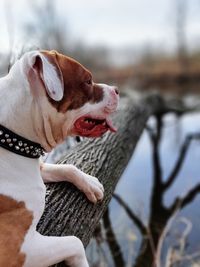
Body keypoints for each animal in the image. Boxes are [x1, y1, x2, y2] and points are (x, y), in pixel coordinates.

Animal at [0, 50, 119, 267]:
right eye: (88, 81)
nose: (117, 90)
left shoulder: (37, 165)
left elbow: (67, 167)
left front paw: (90, 183)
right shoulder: (17, 250)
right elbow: (74, 242)